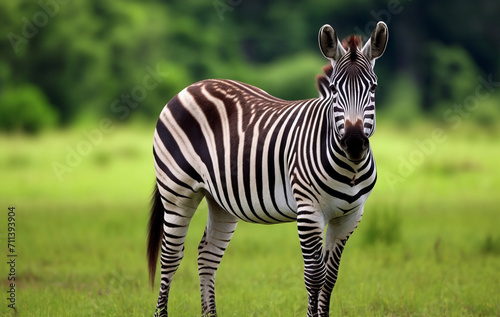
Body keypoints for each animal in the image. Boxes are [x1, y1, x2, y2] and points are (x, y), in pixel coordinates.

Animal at [146, 21, 388, 314]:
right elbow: (314, 276)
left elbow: (331, 277)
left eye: (373, 88)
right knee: (170, 257)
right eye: (334, 89)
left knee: (207, 255)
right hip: (177, 191)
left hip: (221, 200)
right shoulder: (309, 212)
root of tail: (190, 87)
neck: (349, 168)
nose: (354, 143)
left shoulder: (350, 217)